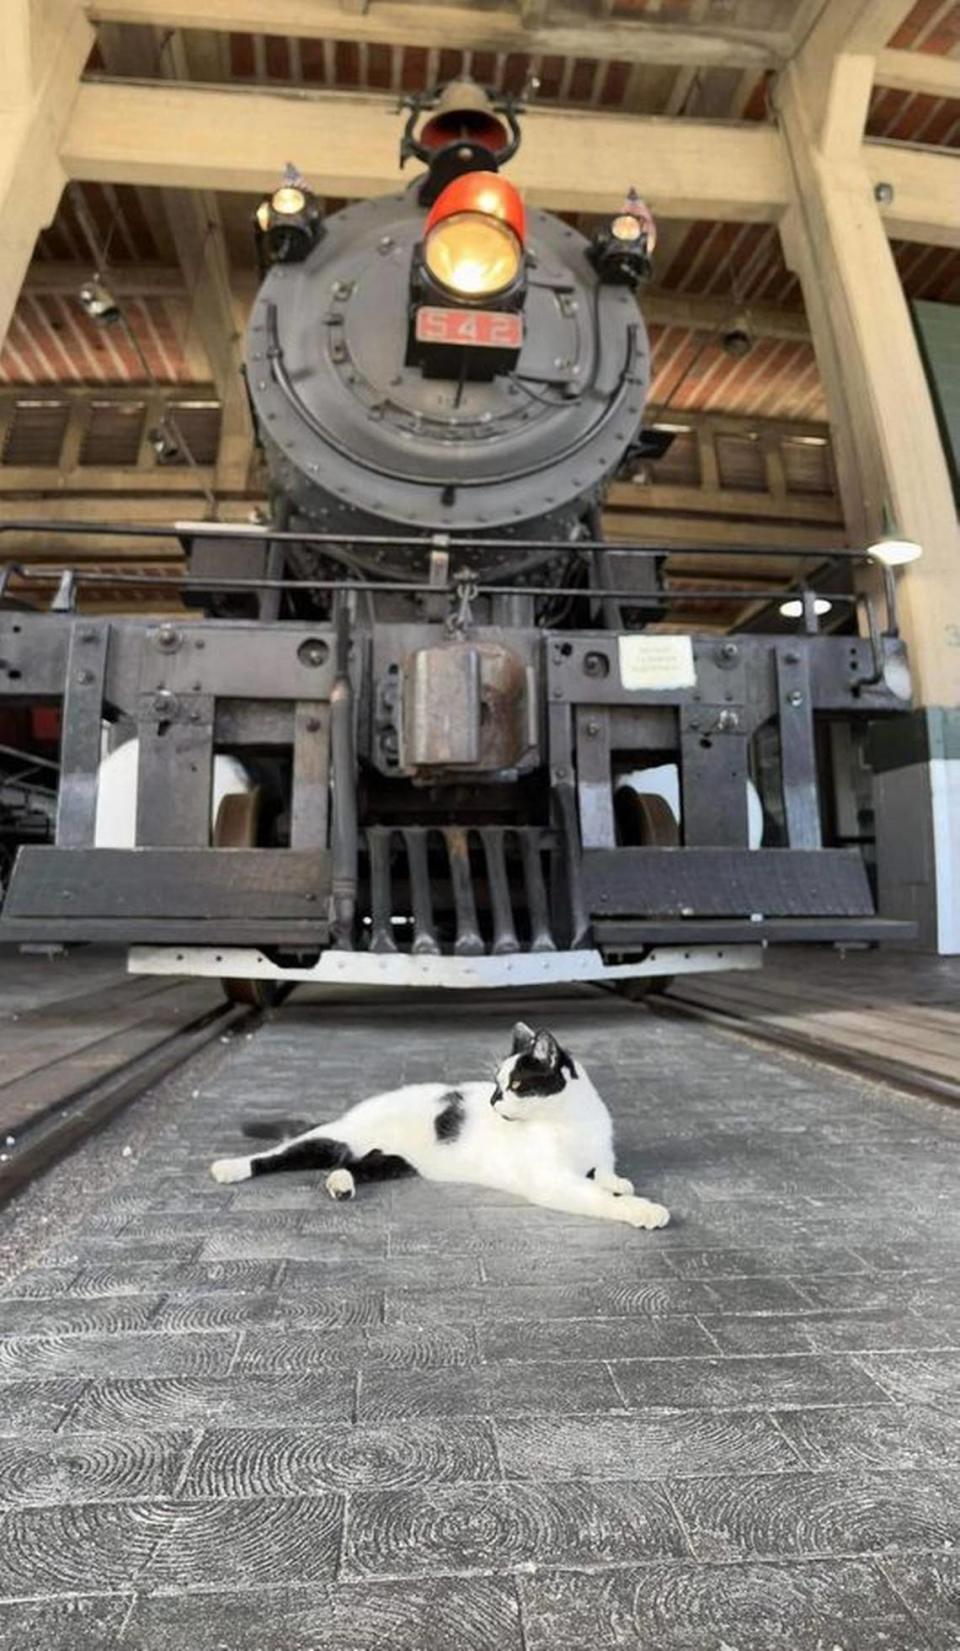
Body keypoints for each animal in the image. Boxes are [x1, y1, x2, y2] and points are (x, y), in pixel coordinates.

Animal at [213, 1010, 670, 1234]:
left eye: (515, 1084)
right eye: (496, 1085)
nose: (493, 1101)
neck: (569, 1122)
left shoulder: (599, 1155)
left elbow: (607, 1173)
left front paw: (620, 1183)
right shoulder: (553, 1181)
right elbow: (601, 1198)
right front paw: (643, 1210)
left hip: (392, 1161)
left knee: (351, 1166)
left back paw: (340, 1185)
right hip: (334, 1138)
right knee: (279, 1155)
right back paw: (228, 1168)